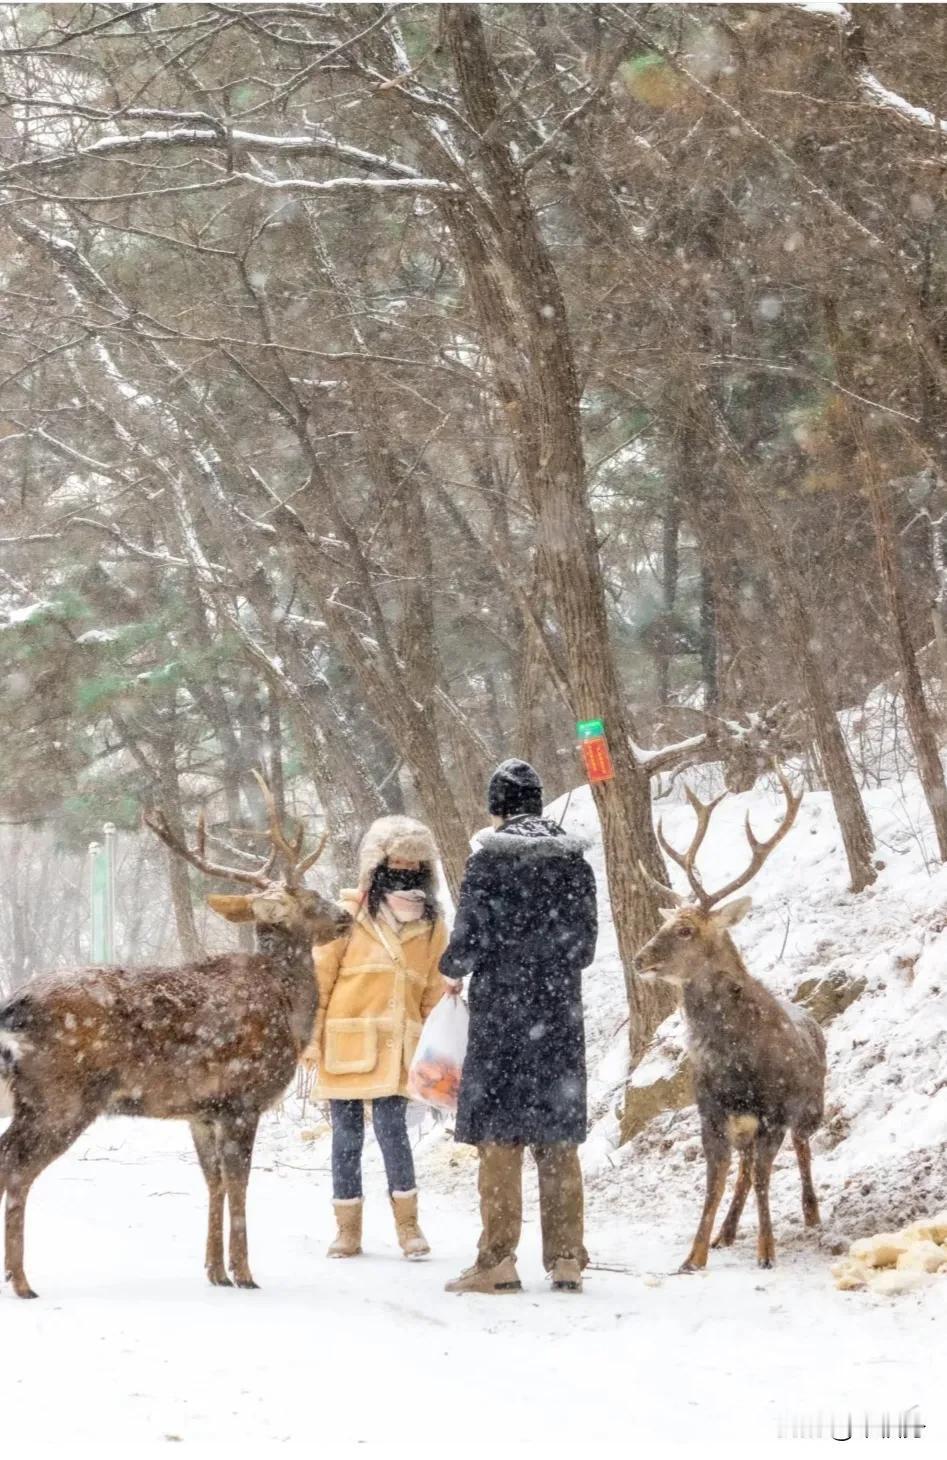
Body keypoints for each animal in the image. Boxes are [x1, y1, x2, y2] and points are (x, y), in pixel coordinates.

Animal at [0, 776, 348, 1302]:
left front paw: (214, 1270)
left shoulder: (201, 1111)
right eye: (310, 898)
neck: (286, 1006)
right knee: (17, 1168)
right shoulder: (243, 1097)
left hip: (33, 1097)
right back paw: (21, 1282)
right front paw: (245, 1273)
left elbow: (213, 1182)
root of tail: (14, 1007)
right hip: (59, 1095)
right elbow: (239, 1183)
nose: (347, 915)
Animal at [636, 770, 828, 1273]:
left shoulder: (774, 1112)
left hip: (811, 1107)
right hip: (746, 1126)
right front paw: (693, 1255)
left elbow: (764, 1177)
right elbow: (714, 1182)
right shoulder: (712, 1113)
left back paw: (811, 1213)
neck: (733, 1063)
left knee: (801, 1151)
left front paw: (766, 1251)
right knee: (743, 1168)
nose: (640, 958)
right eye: (664, 924)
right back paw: (727, 1231)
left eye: (686, 929)